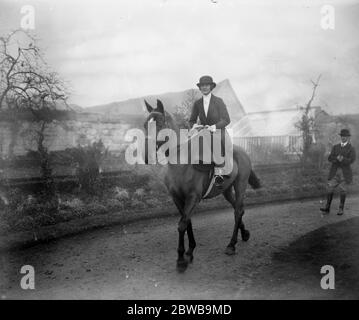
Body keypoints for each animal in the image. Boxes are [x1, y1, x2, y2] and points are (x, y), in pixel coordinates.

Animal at [143, 99, 262, 272]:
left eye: (159, 123)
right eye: (145, 124)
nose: (146, 155)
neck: (181, 162)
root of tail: (243, 152)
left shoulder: (193, 197)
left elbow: (182, 224)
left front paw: (181, 260)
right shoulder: (178, 198)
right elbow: (187, 222)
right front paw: (189, 251)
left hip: (240, 185)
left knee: (238, 211)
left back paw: (231, 245)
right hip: (226, 190)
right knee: (238, 208)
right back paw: (245, 233)